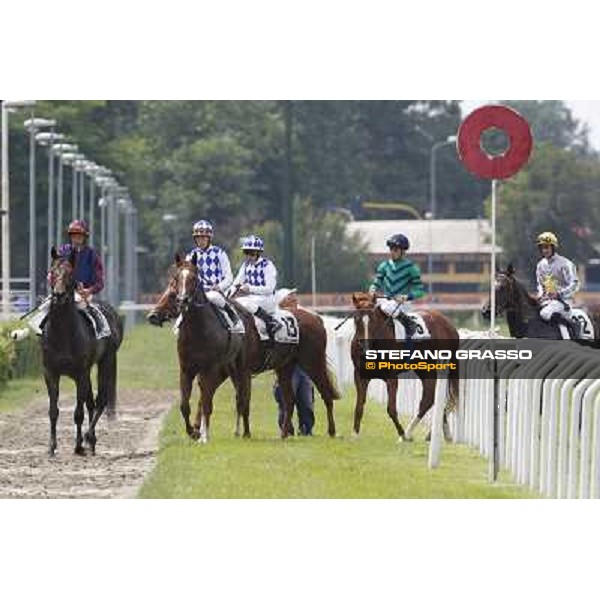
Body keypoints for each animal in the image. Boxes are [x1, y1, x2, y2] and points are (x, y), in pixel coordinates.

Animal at [44, 247, 123, 454]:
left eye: (70, 273)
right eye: (52, 271)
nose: (59, 295)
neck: (62, 333)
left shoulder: (80, 372)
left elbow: (78, 412)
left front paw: (78, 445)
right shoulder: (50, 372)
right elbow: (53, 411)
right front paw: (51, 446)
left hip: (107, 361)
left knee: (100, 400)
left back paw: (88, 438)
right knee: (91, 402)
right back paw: (91, 441)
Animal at [346, 292, 460, 442]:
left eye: (373, 319)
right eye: (356, 318)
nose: (364, 346)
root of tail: (449, 325)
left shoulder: (391, 376)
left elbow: (391, 408)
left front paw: (401, 433)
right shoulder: (359, 375)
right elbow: (359, 406)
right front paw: (354, 434)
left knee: (427, 400)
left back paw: (408, 433)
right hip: (424, 369)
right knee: (431, 397)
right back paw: (442, 433)